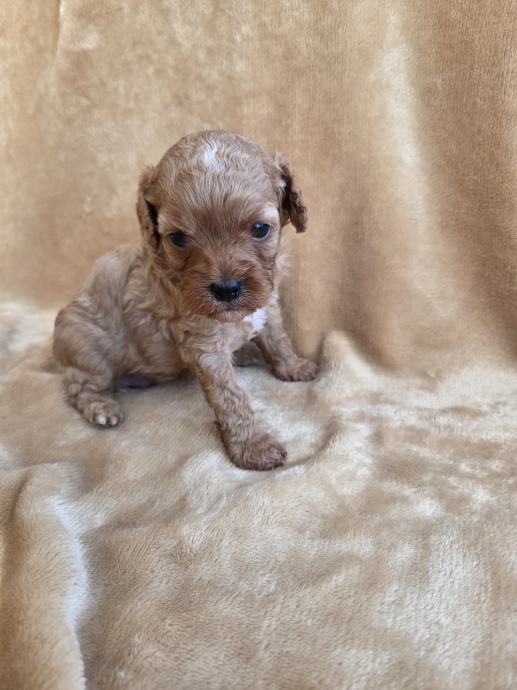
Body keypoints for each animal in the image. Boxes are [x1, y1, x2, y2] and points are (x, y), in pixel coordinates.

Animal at [53, 130, 319, 470]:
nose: (226, 289)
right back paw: (101, 408)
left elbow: (278, 339)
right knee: (79, 386)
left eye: (260, 229)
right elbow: (231, 398)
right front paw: (253, 447)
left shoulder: (267, 305)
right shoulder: (204, 346)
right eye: (178, 238)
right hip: (86, 347)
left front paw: (294, 367)